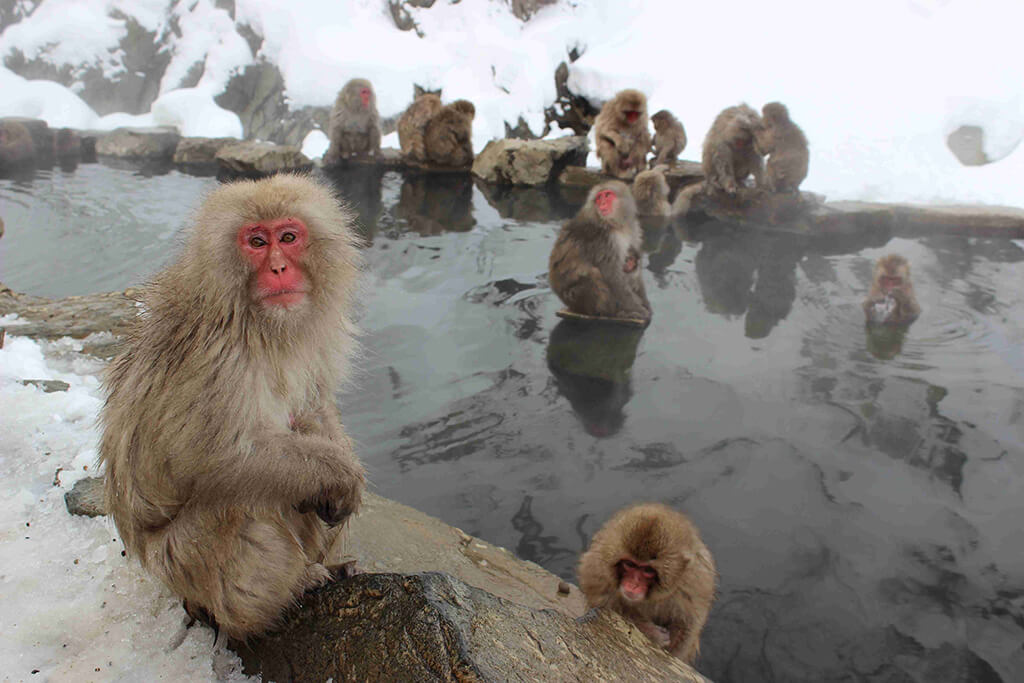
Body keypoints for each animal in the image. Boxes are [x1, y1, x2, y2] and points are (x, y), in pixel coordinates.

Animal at [96, 174, 368, 643]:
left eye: (288, 237)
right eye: (256, 242)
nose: (278, 269)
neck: (257, 323)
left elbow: (313, 408)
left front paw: (342, 471)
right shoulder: (216, 359)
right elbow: (215, 458)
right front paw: (342, 475)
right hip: (182, 563)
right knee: (239, 503)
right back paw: (279, 596)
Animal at [581, 505, 716, 663]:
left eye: (647, 570)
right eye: (629, 564)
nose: (633, 584)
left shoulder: (695, 582)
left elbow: (688, 625)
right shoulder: (598, 569)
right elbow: (602, 603)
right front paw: (650, 632)